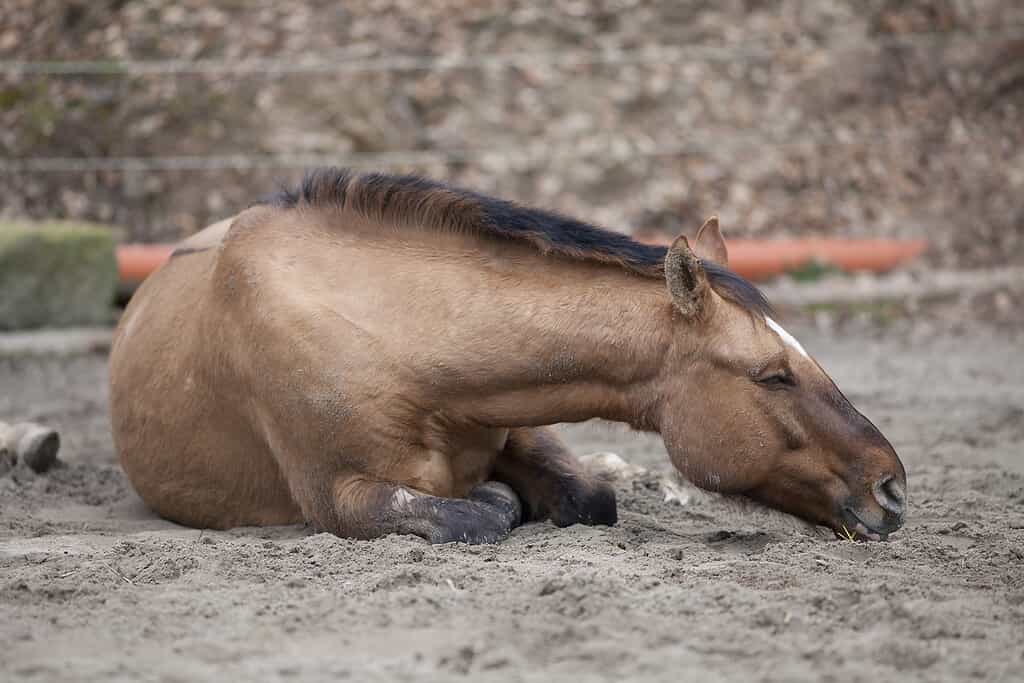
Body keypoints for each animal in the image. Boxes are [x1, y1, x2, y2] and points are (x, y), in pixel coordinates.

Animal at [108, 171, 909, 544]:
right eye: (773, 375)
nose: (893, 487)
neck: (396, 336)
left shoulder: (519, 418)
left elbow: (588, 496)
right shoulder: (339, 496)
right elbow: (482, 511)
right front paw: (502, 502)